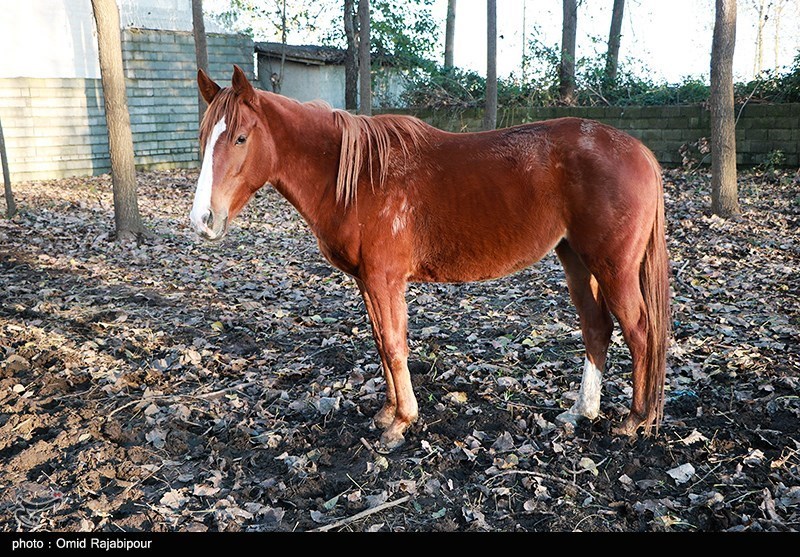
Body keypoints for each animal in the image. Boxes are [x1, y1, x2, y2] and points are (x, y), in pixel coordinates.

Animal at [191, 65, 672, 450]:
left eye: (240, 137)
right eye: (203, 139)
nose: (203, 220)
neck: (358, 176)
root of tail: (639, 151)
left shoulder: (385, 279)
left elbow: (393, 345)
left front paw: (402, 422)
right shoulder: (369, 281)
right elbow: (383, 344)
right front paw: (389, 412)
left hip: (613, 267)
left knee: (639, 332)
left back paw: (635, 419)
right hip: (576, 259)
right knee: (597, 327)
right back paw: (582, 411)